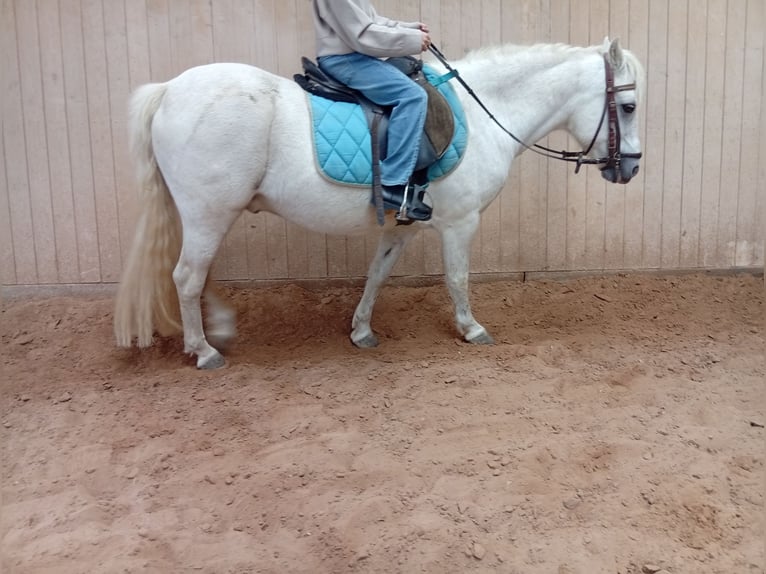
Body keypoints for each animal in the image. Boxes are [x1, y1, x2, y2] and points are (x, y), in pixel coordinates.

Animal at [114, 37, 644, 369]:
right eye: (629, 106)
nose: (632, 168)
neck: (485, 114)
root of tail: (169, 90)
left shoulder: (399, 225)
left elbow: (377, 274)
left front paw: (361, 330)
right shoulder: (460, 223)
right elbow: (457, 279)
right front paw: (471, 329)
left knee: (196, 278)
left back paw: (215, 330)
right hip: (209, 215)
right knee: (187, 278)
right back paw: (204, 351)